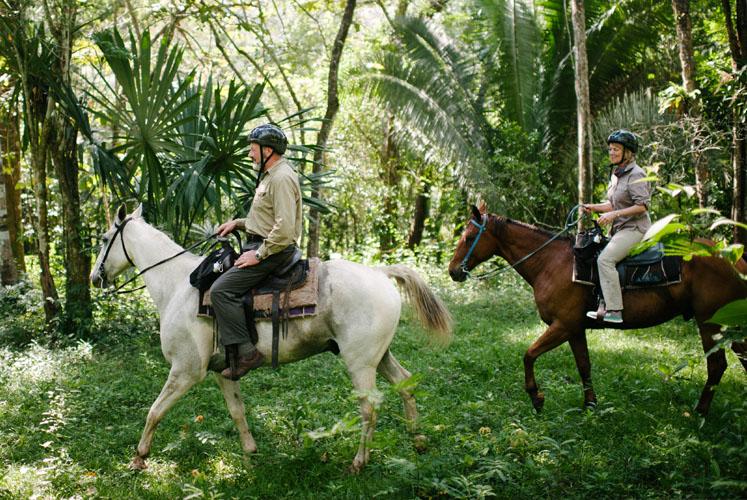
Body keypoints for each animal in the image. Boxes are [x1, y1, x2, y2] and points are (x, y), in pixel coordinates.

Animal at [90, 205, 452, 470]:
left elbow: (154, 411)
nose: (95, 277)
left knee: (370, 408)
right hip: (381, 355)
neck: (179, 285)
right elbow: (237, 411)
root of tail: (379, 273)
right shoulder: (223, 371)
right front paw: (251, 453)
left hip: (360, 364)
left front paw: (139, 457)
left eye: (105, 237)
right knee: (405, 384)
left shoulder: (186, 371)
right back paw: (418, 440)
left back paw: (359, 462)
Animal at [450, 203, 747, 414]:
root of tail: (734, 258)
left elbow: (529, 355)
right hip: (728, 323)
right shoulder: (574, 329)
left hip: (710, 322)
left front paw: (536, 397)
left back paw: (700, 412)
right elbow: (584, 365)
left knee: (716, 365)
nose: (453, 271)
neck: (550, 263)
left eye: (470, 236)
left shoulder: (563, 326)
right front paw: (590, 405)